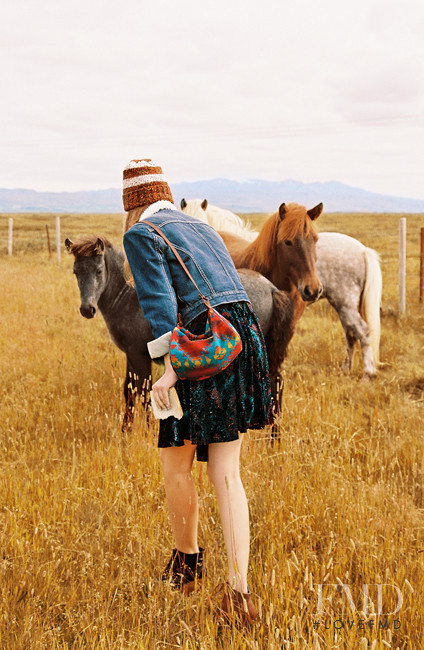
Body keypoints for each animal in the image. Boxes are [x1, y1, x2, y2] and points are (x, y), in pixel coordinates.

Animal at [66, 235, 294, 428]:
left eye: (98, 270)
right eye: (75, 271)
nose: (87, 309)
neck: (128, 296)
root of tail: (272, 289)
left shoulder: (138, 355)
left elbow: (143, 392)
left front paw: (147, 430)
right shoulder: (132, 357)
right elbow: (129, 391)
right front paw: (126, 431)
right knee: (276, 384)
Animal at [181, 196, 382, 374]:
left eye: (315, 240)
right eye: (287, 242)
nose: (313, 289)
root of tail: (363, 250)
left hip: (345, 303)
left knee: (362, 332)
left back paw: (368, 373)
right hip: (343, 305)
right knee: (351, 333)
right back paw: (347, 368)